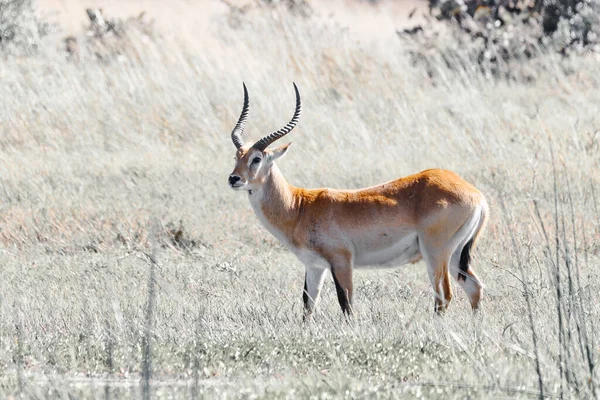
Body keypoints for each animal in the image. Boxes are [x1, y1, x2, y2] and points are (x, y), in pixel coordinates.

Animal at [227, 83, 490, 318]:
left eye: (257, 158)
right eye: (237, 156)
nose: (233, 179)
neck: (300, 206)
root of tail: (476, 194)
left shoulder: (342, 262)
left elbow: (346, 304)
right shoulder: (314, 266)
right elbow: (308, 305)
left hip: (435, 253)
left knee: (444, 294)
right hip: (455, 255)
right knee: (474, 287)